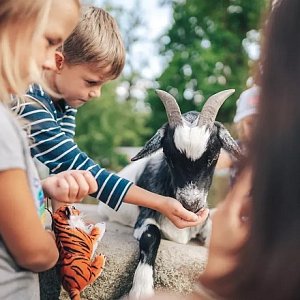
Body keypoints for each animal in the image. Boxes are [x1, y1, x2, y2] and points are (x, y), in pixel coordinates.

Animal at [97, 88, 240, 298]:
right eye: (169, 157)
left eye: (213, 157)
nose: (190, 204)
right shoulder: (144, 219)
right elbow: (151, 235)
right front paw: (142, 288)